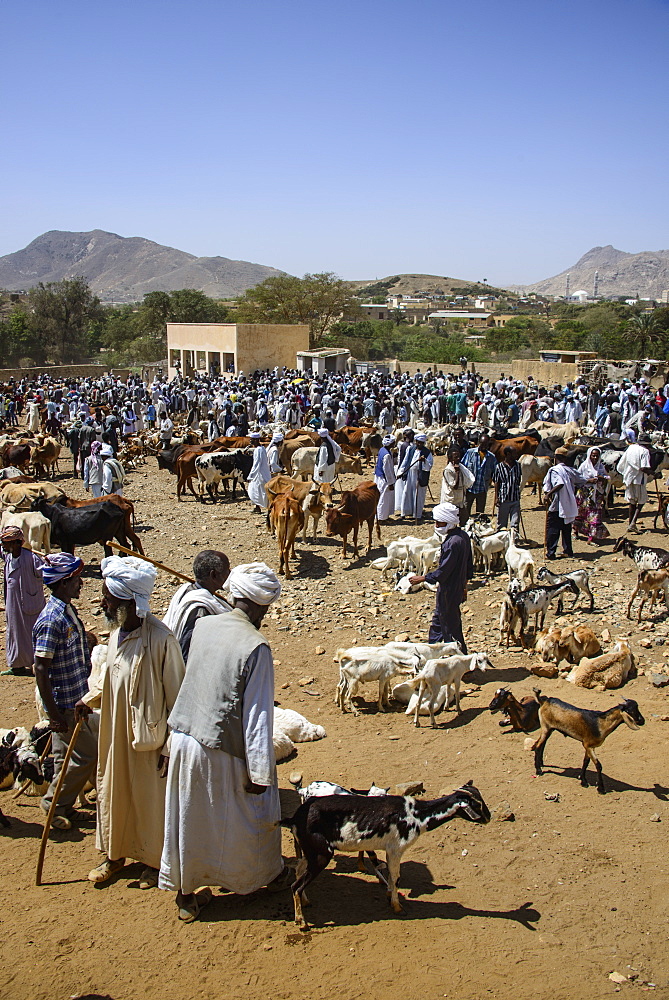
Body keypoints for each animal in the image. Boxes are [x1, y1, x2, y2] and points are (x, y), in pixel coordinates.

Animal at [280, 780, 488, 928]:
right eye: (476, 804)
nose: (488, 817)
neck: (417, 814)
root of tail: (295, 817)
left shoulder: (389, 851)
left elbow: (389, 875)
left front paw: (389, 896)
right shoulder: (396, 849)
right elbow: (395, 877)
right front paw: (397, 906)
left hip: (309, 853)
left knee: (298, 872)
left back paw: (306, 903)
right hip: (321, 856)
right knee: (296, 886)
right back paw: (301, 922)